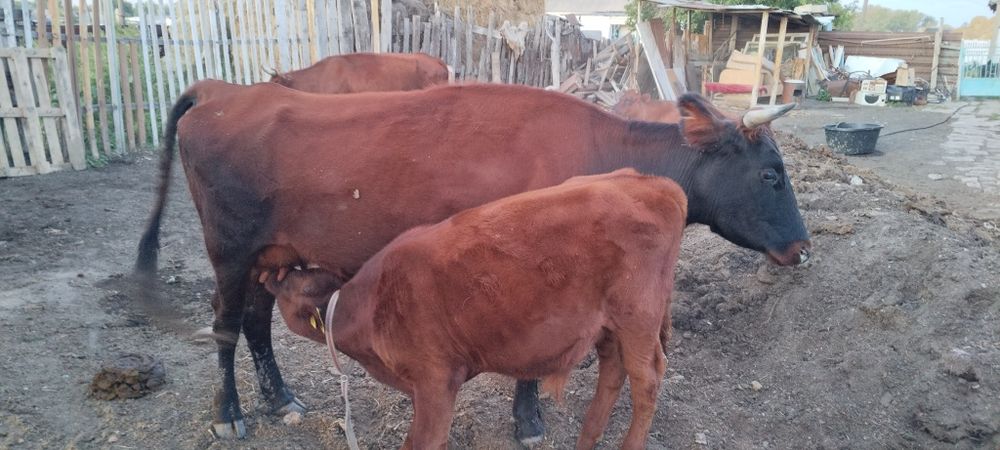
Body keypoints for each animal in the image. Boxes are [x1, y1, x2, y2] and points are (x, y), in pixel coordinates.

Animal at [259, 169, 688, 450]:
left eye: (286, 286)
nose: (268, 275)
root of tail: (654, 182)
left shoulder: (435, 381)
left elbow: (422, 442)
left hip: (638, 316)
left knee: (647, 380)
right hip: (608, 325)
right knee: (613, 371)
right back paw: (587, 439)